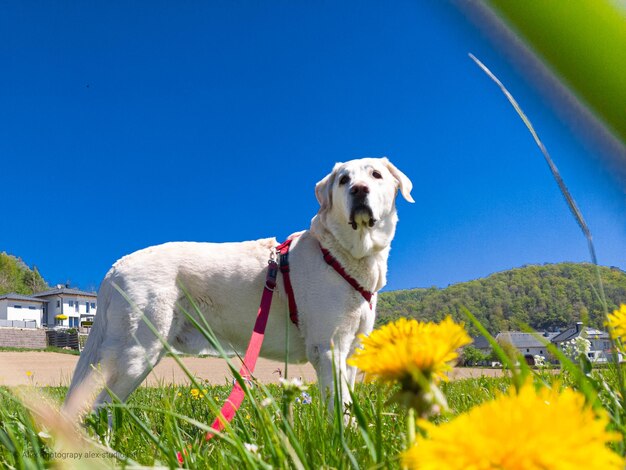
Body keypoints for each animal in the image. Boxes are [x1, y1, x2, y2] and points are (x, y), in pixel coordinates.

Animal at [64, 159, 410, 414]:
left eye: (376, 175)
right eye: (343, 180)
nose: (359, 189)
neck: (344, 252)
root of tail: (115, 267)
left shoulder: (351, 350)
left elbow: (350, 406)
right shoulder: (328, 348)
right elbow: (340, 408)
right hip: (136, 351)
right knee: (100, 405)